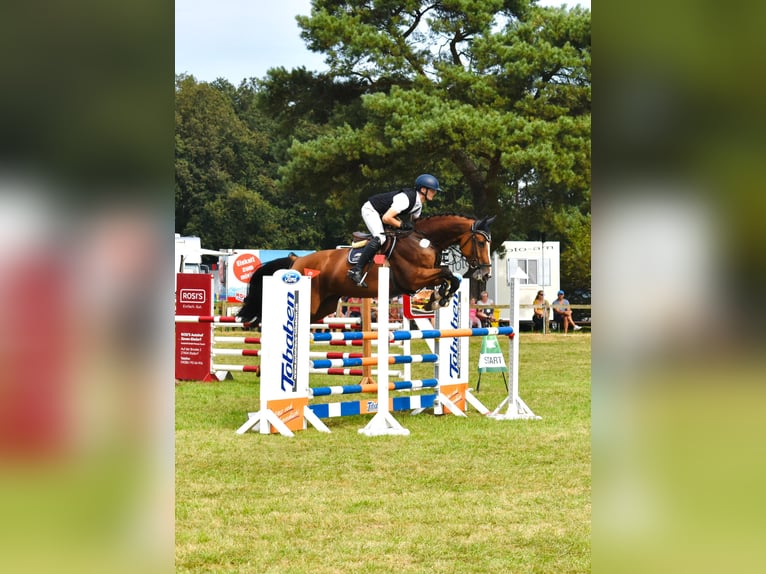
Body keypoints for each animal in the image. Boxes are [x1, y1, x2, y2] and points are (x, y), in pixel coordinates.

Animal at [237, 214, 498, 326]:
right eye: (481, 242)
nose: (485, 273)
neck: (423, 240)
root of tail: (296, 261)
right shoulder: (414, 278)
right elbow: (448, 274)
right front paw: (437, 299)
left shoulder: (423, 278)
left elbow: (448, 279)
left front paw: (436, 299)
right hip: (310, 301)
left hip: (325, 306)